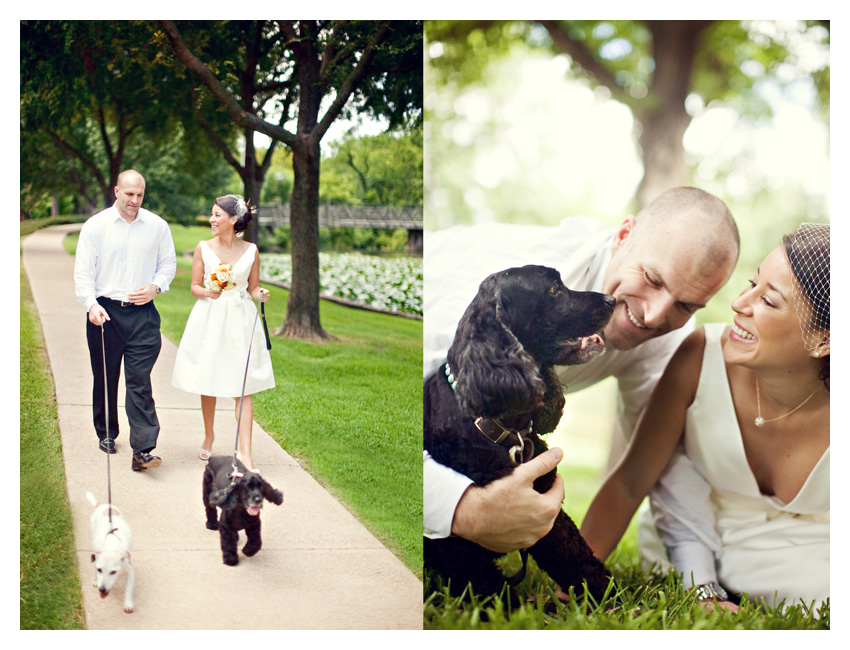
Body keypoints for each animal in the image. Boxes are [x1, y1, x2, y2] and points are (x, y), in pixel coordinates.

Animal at [424, 264, 616, 604]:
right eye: (554, 289)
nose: (613, 300)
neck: (503, 428)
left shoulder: (546, 505)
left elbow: (580, 562)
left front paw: (616, 604)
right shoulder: (459, 553)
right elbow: (495, 594)